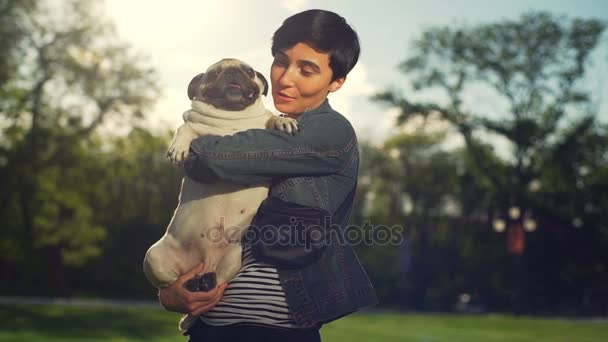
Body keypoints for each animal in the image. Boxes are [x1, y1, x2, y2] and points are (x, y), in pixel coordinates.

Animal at [141, 57, 296, 330]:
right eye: (213, 74)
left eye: (248, 71)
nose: (233, 72)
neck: (231, 119)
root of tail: (201, 261)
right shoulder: (195, 138)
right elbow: (186, 128)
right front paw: (178, 147)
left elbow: (272, 119)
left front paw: (283, 120)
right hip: (154, 258)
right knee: (173, 284)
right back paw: (189, 294)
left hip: (232, 259)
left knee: (217, 286)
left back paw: (203, 284)